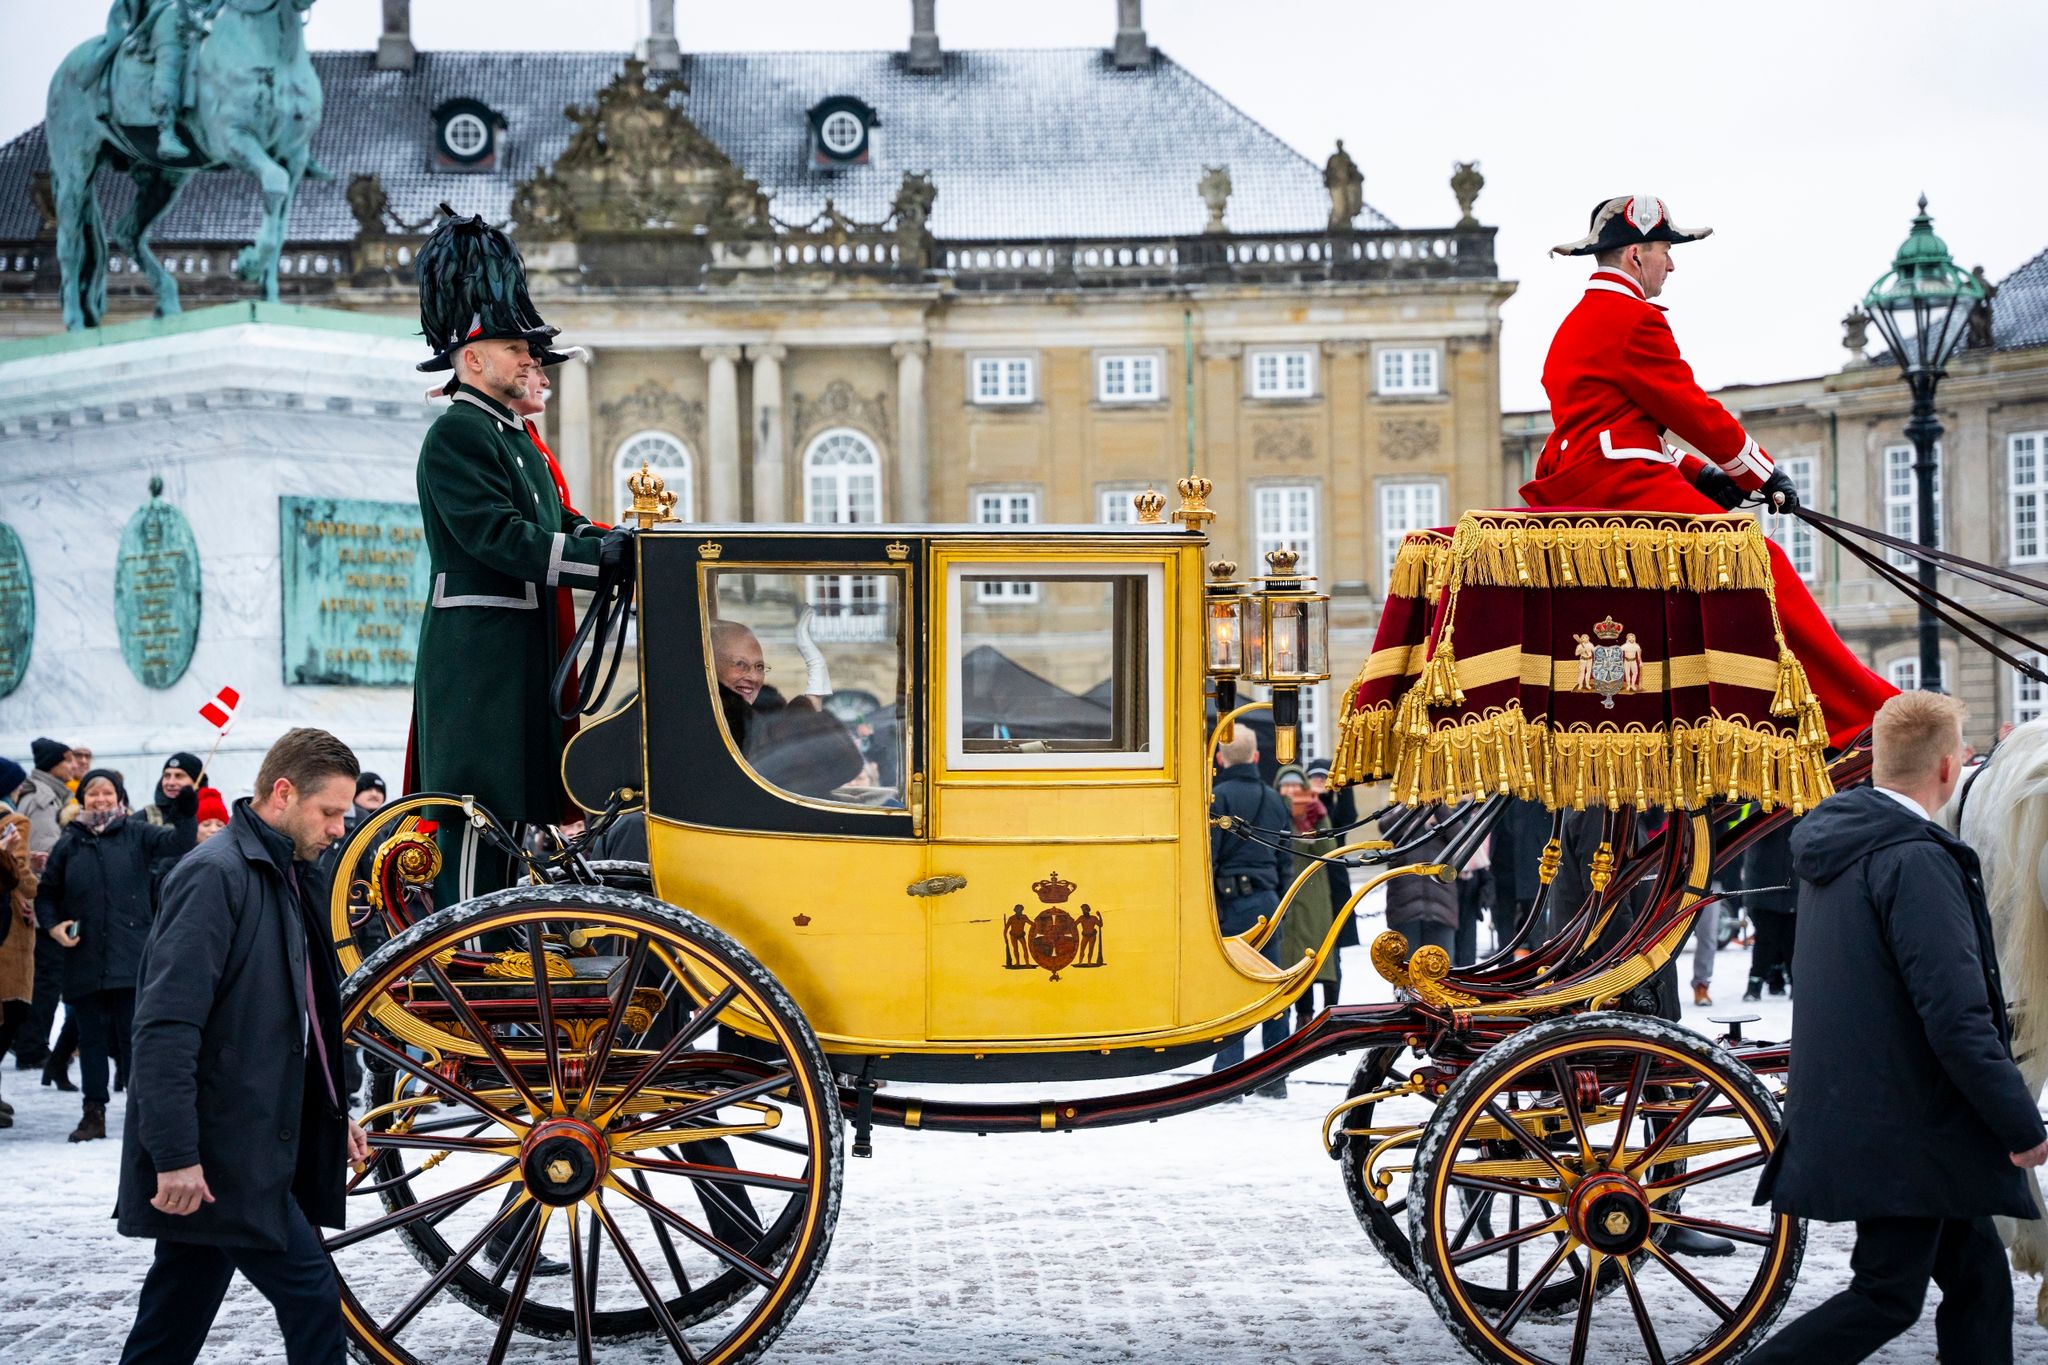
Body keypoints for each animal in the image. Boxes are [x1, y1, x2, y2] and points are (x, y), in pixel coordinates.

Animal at [41, 0, 321, 329]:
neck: (274, 49)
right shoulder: (234, 141)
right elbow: (275, 183)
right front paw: (249, 264)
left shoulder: (293, 157)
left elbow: (279, 228)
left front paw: (271, 298)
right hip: (75, 169)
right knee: (69, 245)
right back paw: (74, 323)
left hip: (164, 178)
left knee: (127, 232)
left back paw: (169, 302)